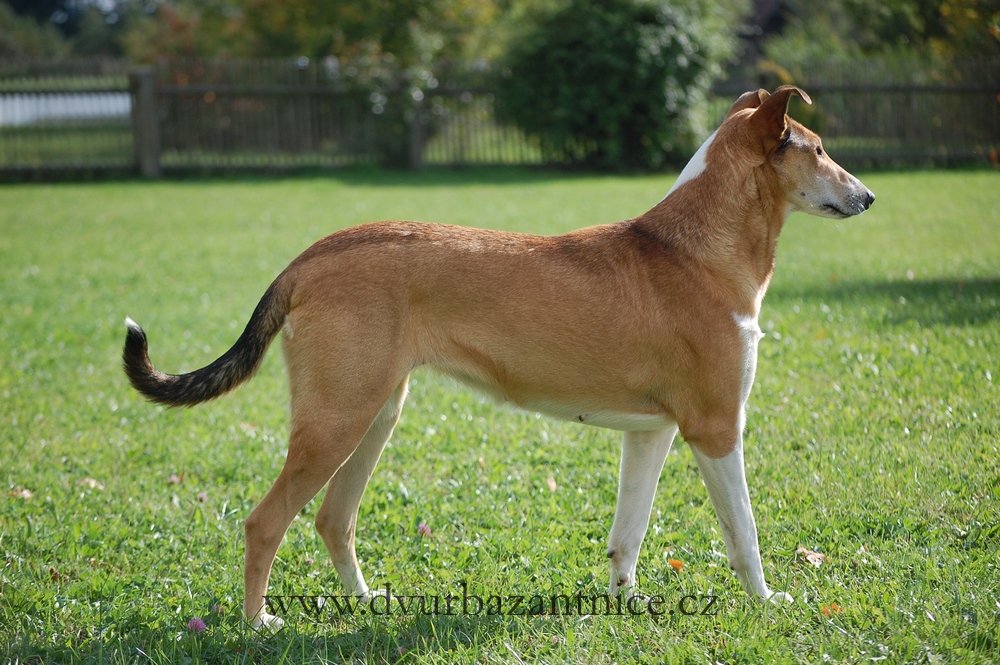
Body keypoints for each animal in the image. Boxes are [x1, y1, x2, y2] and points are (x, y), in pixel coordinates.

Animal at [123, 86, 874, 628]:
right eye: (817, 149)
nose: (867, 196)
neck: (697, 249)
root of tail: (309, 256)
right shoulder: (717, 428)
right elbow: (744, 532)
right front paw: (768, 601)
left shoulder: (652, 433)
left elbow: (627, 534)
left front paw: (626, 604)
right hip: (336, 421)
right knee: (264, 521)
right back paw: (259, 624)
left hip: (373, 415)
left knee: (333, 519)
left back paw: (365, 603)